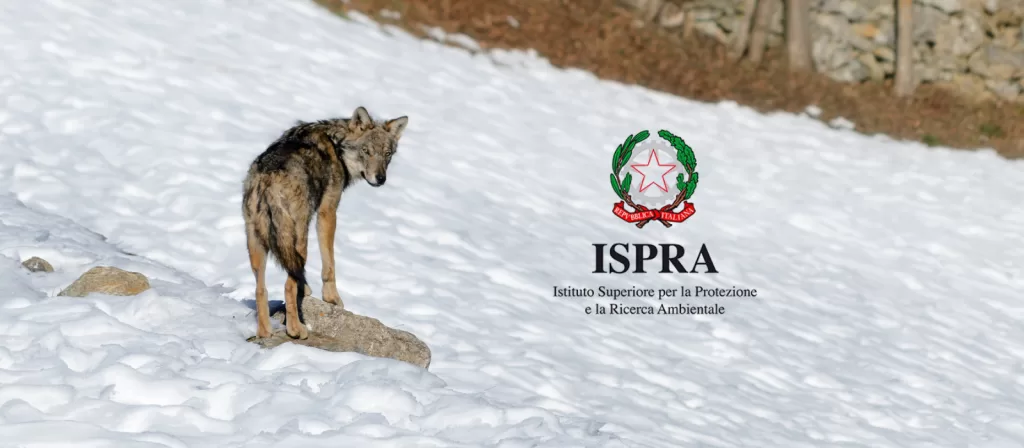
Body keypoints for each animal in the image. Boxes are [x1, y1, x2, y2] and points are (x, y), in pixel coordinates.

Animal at [241, 106, 408, 339]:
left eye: (387, 154)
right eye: (366, 151)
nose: (380, 178)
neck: (337, 145)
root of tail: (267, 180)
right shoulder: (327, 212)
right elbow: (329, 263)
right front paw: (332, 298)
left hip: (257, 244)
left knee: (261, 289)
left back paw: (266, 332)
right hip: (299, 240)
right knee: (288, 285)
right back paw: (296, 330)